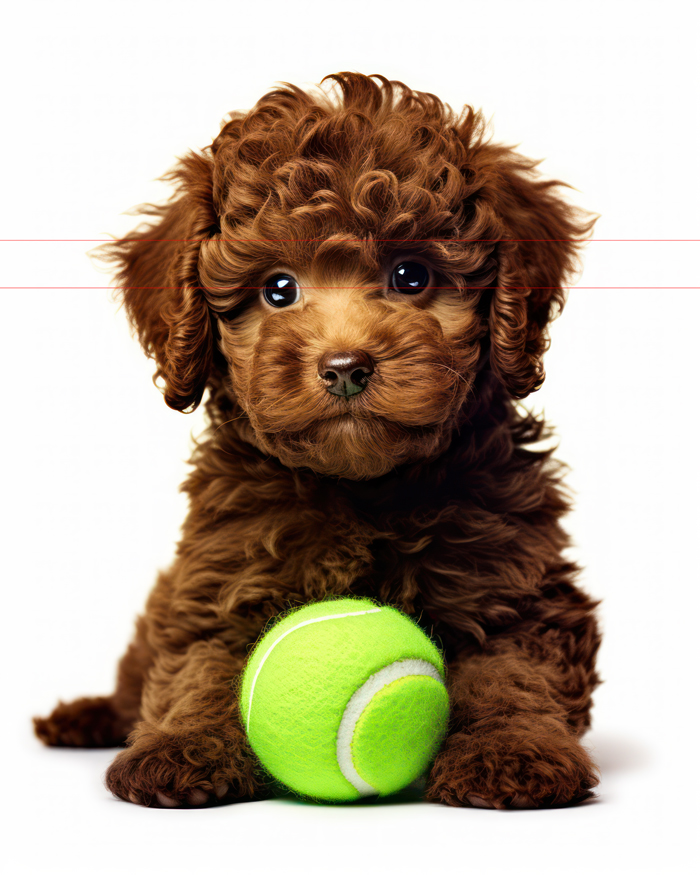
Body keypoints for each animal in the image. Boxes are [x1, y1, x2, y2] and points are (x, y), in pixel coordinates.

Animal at [34, 72, 600, 812]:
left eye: (412, 276)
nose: (345, 366)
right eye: (279, 289)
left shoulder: (516, 583)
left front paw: (512, 751)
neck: (361, 490)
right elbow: (199, 666)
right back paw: (88, 716)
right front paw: (180, 747)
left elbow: (515, 672)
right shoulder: (221, 578)